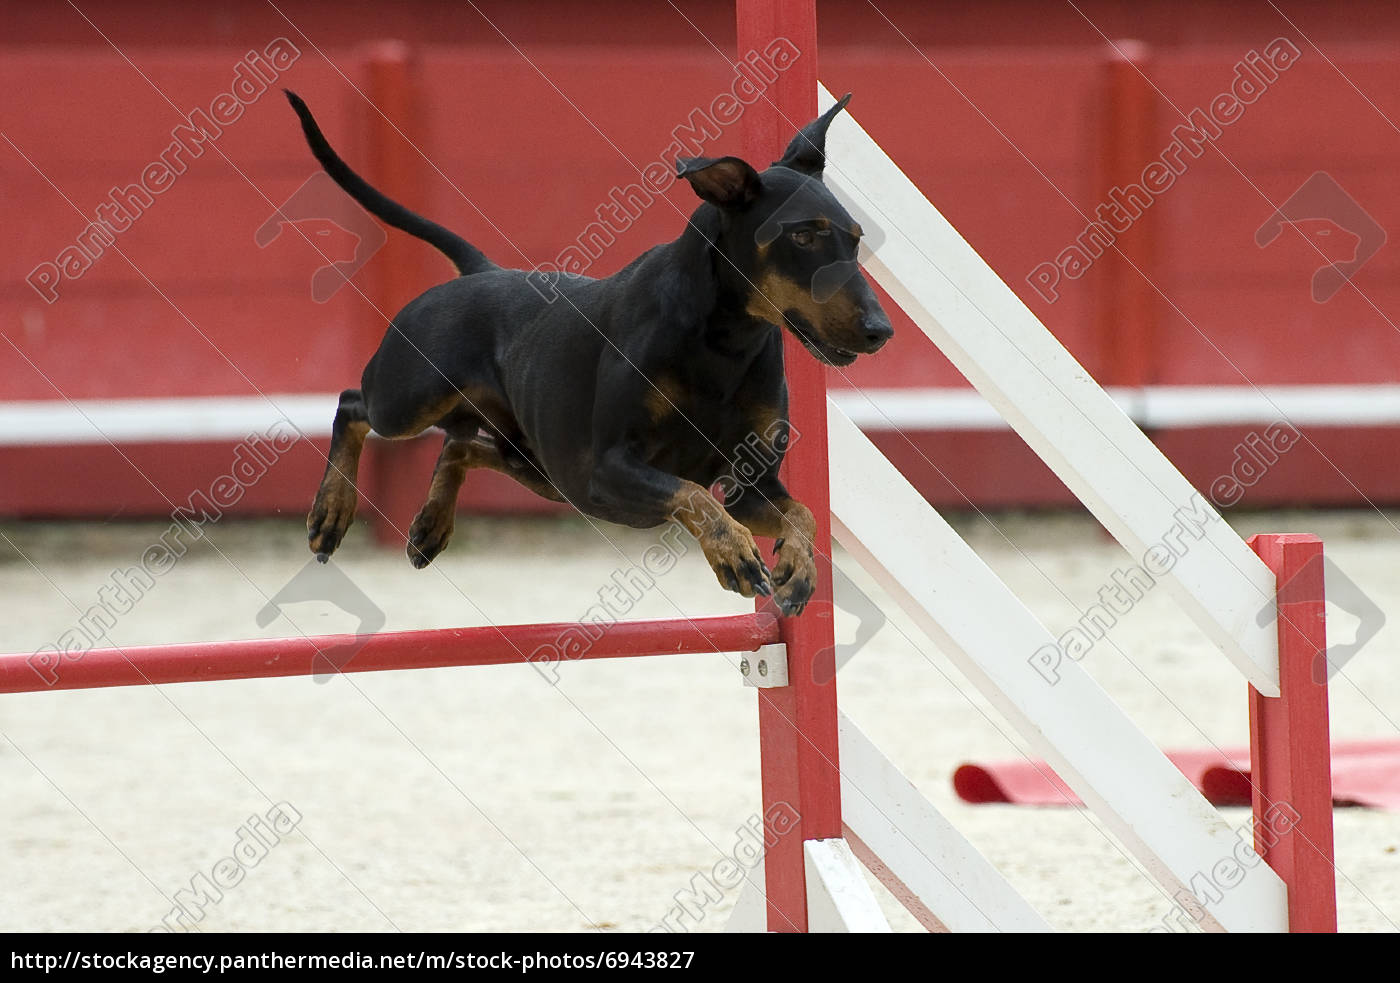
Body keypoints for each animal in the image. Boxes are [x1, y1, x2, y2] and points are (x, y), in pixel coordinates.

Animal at [285, 92, 890, 616]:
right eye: (804, 237)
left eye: (856, 238)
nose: (880, 330)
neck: (725, 341)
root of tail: (483, 271)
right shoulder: (611, 466)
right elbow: (695, 495)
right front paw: (735, 554)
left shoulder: (749, 485)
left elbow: (802, 513)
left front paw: (798, 568)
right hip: (414, 400)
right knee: (353, 404)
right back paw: (330, 514)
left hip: (546, 468)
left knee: (460, 446)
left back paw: (429, 526)